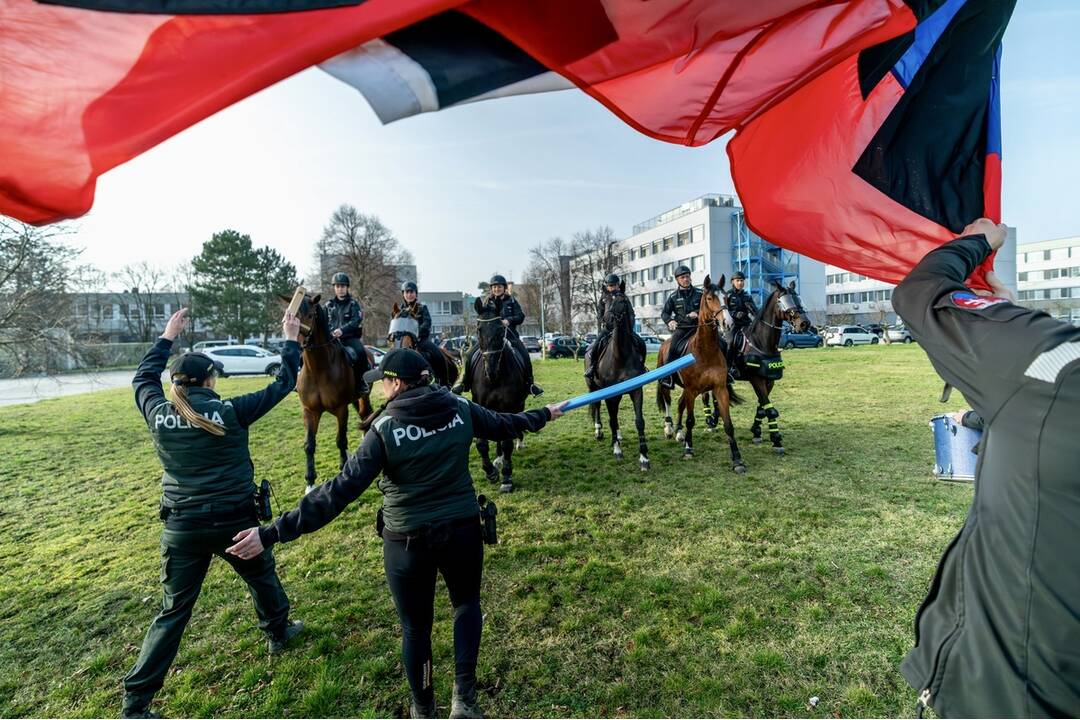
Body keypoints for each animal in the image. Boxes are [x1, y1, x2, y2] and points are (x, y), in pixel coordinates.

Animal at [289, 291, 373, 490]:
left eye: (309, 315)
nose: (296, 343)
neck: (318, 369)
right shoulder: (310, 411)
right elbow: (309, 445)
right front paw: (310, 482)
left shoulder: (341, 409)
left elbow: (340, 440)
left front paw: (343, 467)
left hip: (362, 397)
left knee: (366, 415)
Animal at [468, 295, 527, 492]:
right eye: (478, 329)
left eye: (501, 330)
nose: (491, 371)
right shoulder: (481, 406)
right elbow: (481, 443)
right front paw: (490, 471)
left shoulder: (510, 406)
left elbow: (507, 442)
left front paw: (507, 478)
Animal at [591, 284, 648, 474]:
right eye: (603, 301)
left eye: (622, 300)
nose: (608, 320)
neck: (620, 355)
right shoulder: (611, 395)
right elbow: (612, 419)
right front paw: (617, 450)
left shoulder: (636, 390)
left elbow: (639, 421)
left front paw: (644, 458)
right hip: (594, 388)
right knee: (599, 408)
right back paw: (600, 432)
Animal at [652, 274, 747, 472]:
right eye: (710, 298)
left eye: (727, 298)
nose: (728, 323)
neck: (705, 350)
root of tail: (664, 342)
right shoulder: (691, 390)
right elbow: (691, 420)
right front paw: (688, 449)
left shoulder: (720, 389)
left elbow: (728, 425)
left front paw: (737, 460)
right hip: (668, 385)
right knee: (668, 401)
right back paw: (669, 429)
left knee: (679, 404)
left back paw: (679, 433)